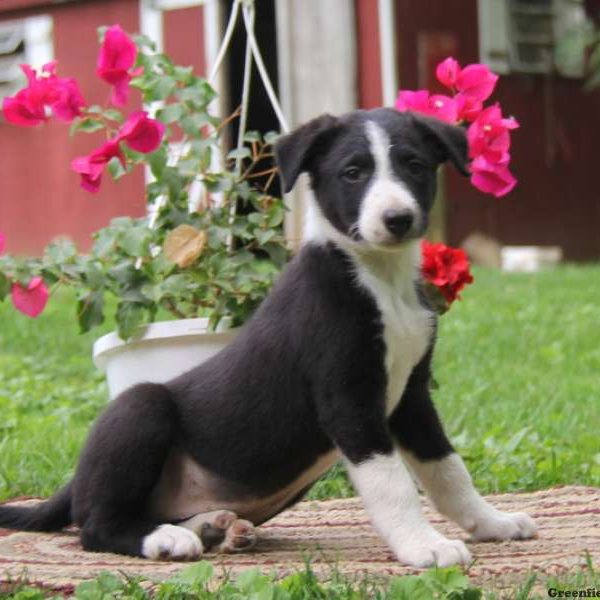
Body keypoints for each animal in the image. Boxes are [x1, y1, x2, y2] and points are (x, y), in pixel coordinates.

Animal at [0, 109, 536, 568]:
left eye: (415, 166)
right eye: (353, 172)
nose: (398, 219)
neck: (380, 280)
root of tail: (76, 480)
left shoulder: (411, 396)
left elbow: (448, 470)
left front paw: (492, 523)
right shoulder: (349, 400)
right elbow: (393, 483)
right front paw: (422, 546)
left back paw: (211, 527)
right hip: (139, 408)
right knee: (94, 526)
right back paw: (166, 539)